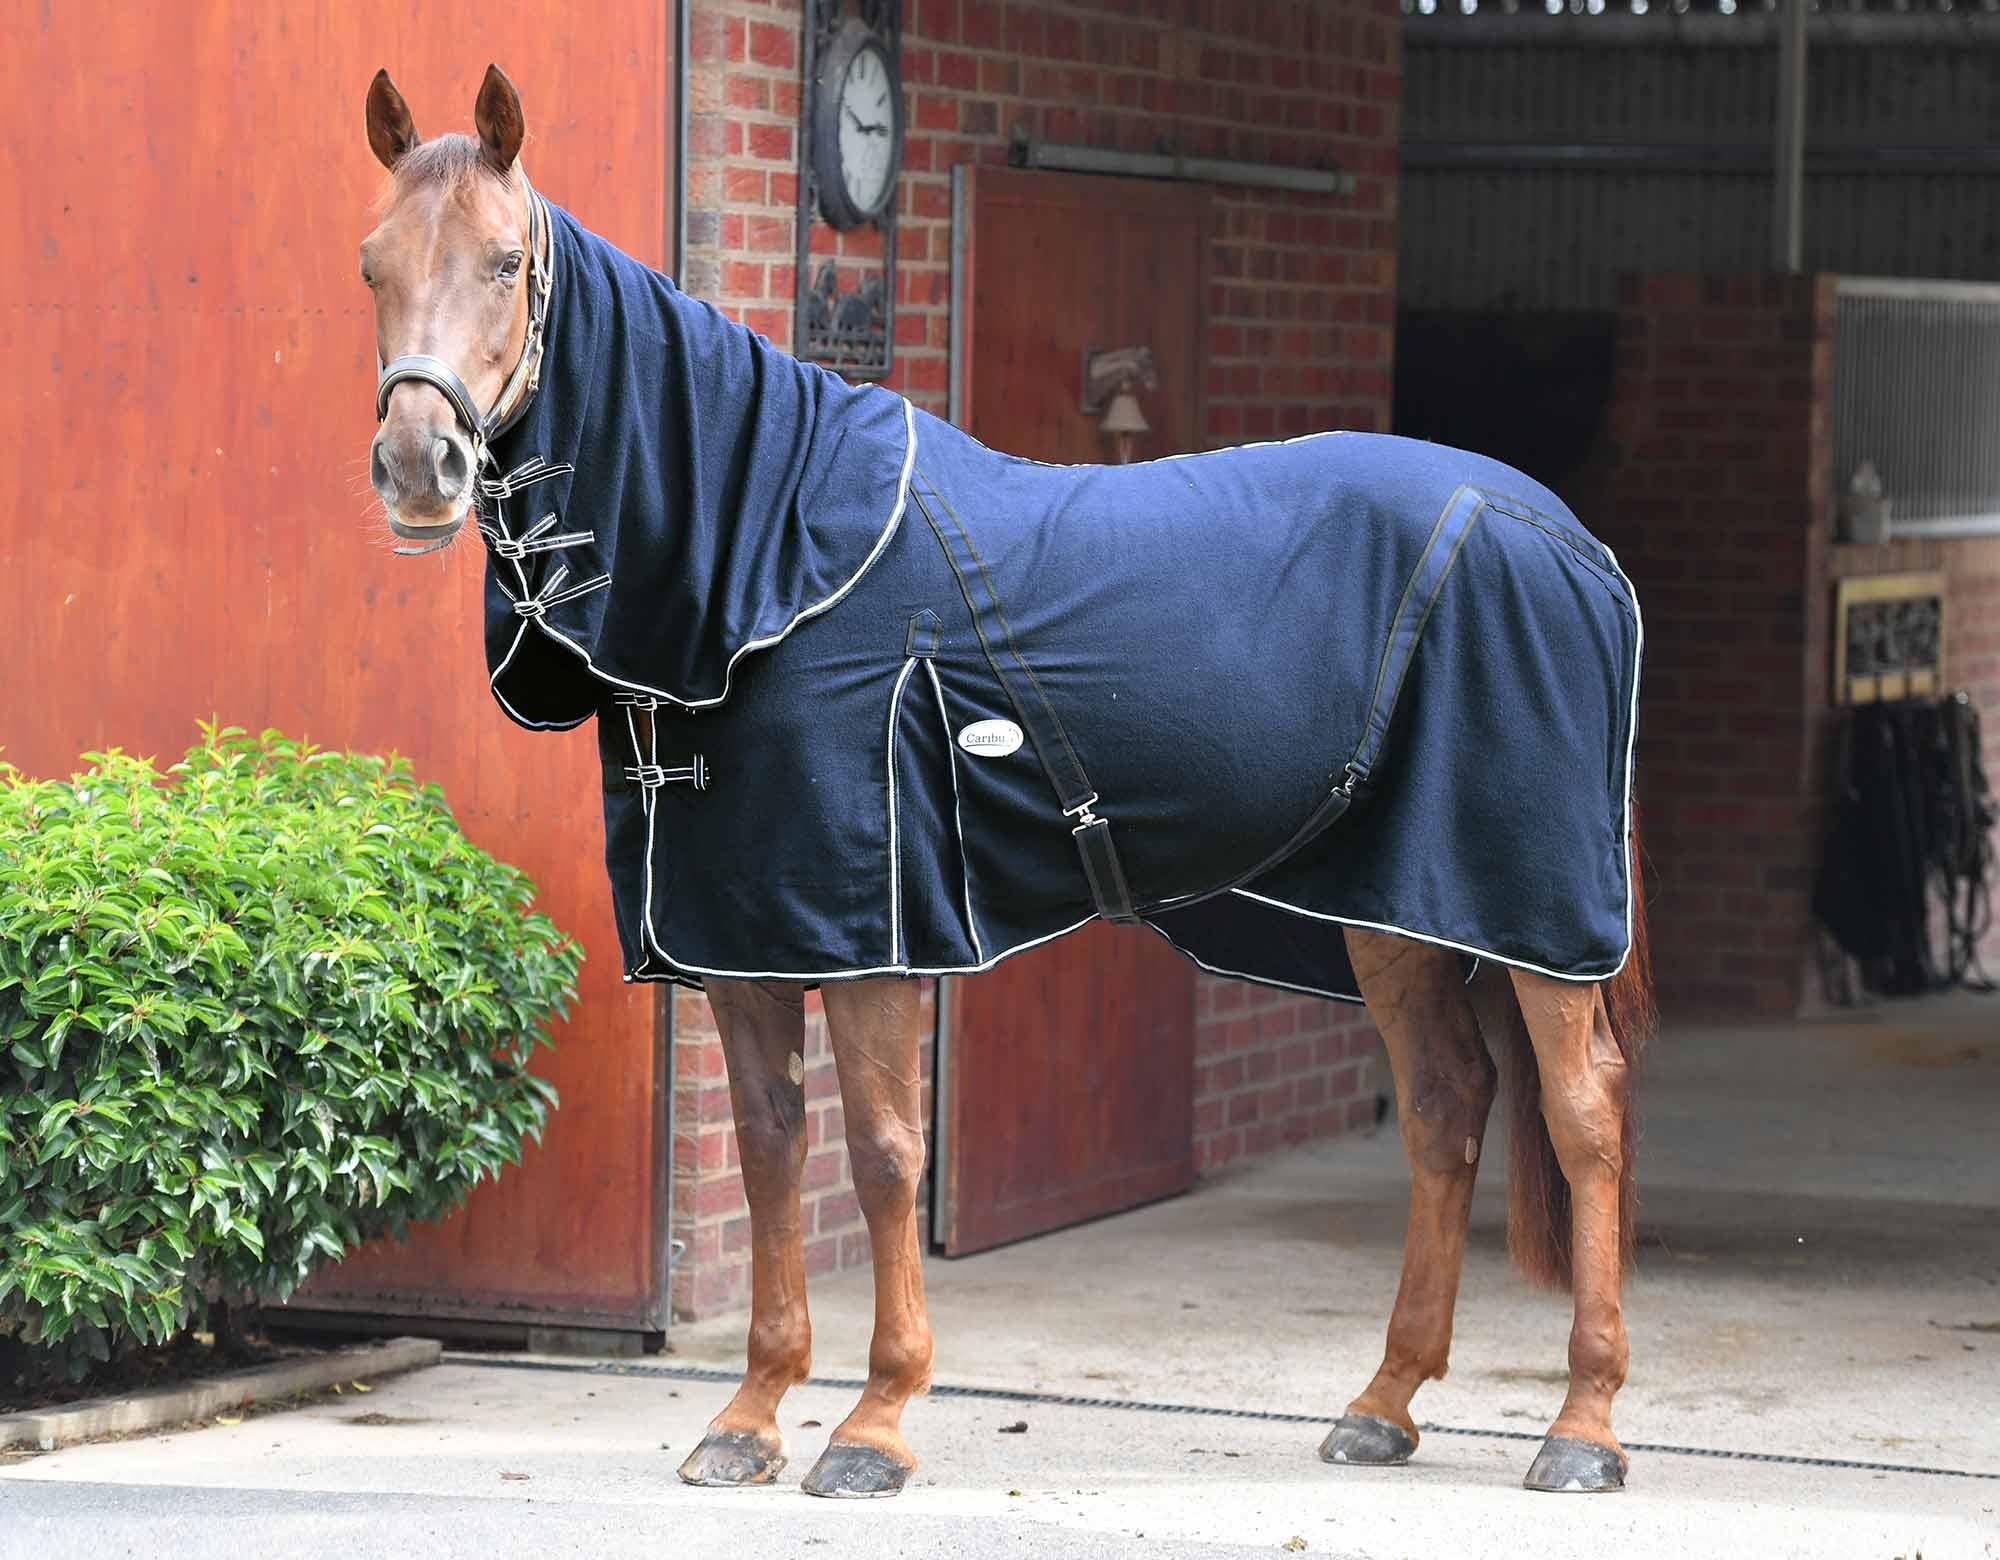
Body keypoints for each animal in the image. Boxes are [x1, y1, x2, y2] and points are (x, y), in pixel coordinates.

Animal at [358, 65, 1655, 1501]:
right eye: (371, 265)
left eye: (505, 260)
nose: (419, 467)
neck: (771, 563)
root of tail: (1570, 541)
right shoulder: (738, 944)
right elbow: (768, 1154)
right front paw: (747, 1418)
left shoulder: (869, 938)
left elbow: (881, 1160)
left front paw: (873, 1426)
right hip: (1390, 912)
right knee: (1442, 1109)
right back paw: (1382, 1402)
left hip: (1530, 908)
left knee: (1584, 1115)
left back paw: (1583, 1426)